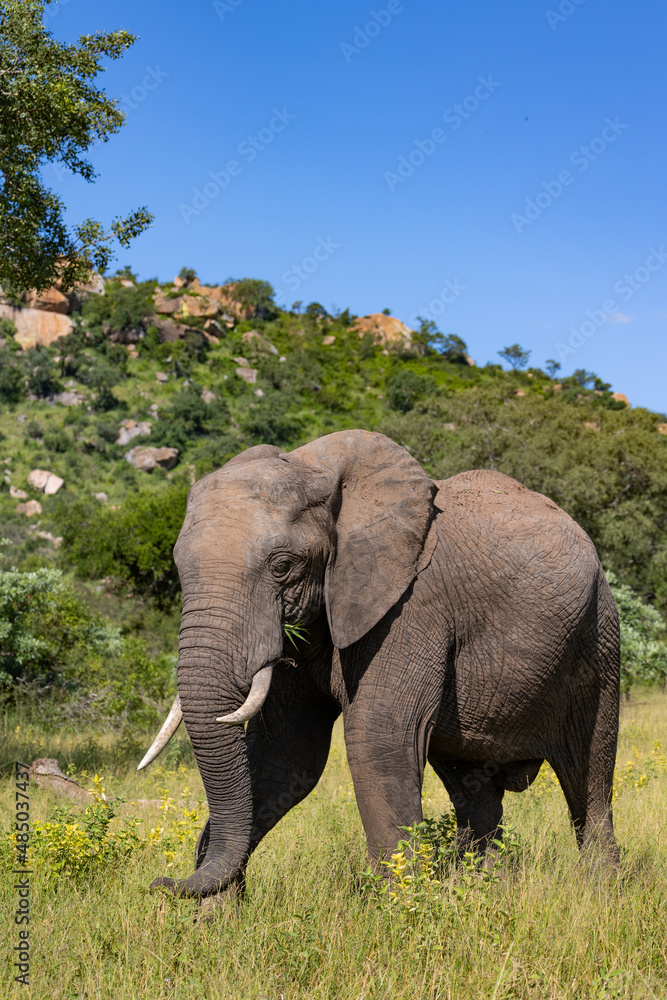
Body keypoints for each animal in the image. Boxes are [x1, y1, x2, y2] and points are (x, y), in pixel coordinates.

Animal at [139, 429, 620, 903]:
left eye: (282, 567)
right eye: (179, 568)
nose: (160, 883)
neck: (319, 471)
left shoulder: (412, 606)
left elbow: (376, 736)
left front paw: (399, 909)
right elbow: (289, 755)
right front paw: (215, 914)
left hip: (599, 635)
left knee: (589, 778)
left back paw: (600, 894)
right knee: (474, 789)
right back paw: (478, 891)